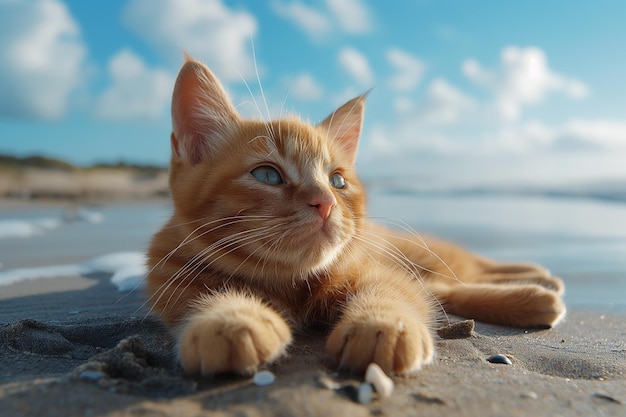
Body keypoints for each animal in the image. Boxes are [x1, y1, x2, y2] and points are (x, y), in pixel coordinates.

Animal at [145, 57, 560, 376]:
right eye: (267, 175)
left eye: (337, 181)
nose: (325, 201)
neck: (293, 283)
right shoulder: (173, 278)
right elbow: (205, 293)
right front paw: (231, 319)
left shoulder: (374, 268)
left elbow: (391, 290)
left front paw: (381, 324)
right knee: (447, 288)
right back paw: (537, 294)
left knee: (466, 270)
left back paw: (536, 279)